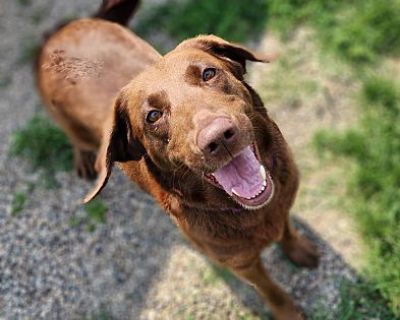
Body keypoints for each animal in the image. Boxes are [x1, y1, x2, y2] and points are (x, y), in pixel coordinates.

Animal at [37, 1, 318, 318]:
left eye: (208, 73)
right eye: (153, 116)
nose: (218, 138)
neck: (250, 211)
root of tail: (62, 30)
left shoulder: (282, 206)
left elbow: (287, 230)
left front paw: (298, 249)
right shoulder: (242, 263)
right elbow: (272, 291)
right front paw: (288, 312)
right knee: (76, 140)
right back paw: (84, 159)